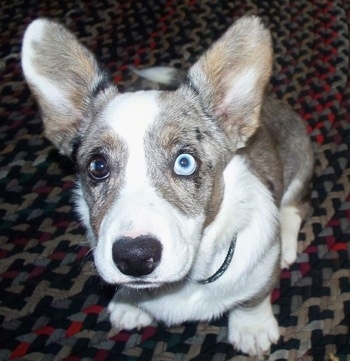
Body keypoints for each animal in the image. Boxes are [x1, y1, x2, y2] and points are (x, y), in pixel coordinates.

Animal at [21, 15, 314, 356]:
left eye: (184, 162)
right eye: (97, 167)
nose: (134, 258)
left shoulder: (261, 269)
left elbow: (252, 300)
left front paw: (252, 329)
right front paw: (129, 305)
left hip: (299, 161)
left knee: (295, 206)